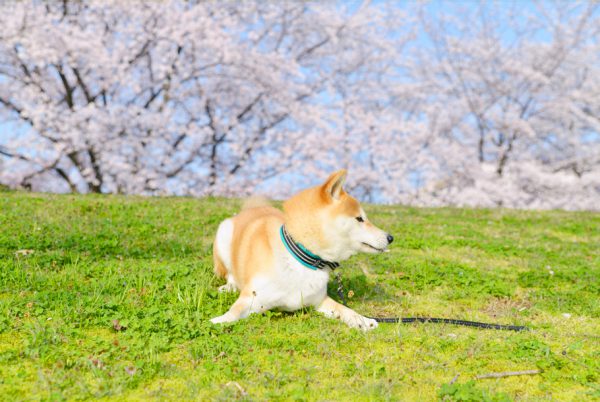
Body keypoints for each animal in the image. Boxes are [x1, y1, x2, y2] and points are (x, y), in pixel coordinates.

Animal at [211, 170, 394, 330]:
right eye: (359, 219)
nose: (390, 237)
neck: (302, 258)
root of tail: (251, 209)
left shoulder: (319, 300)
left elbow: (343, 309)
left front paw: (361, 319)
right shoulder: (251, 298)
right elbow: (233, 313)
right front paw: (216, 321)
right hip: (223, 234)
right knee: (229, 274)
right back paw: (228, 287)